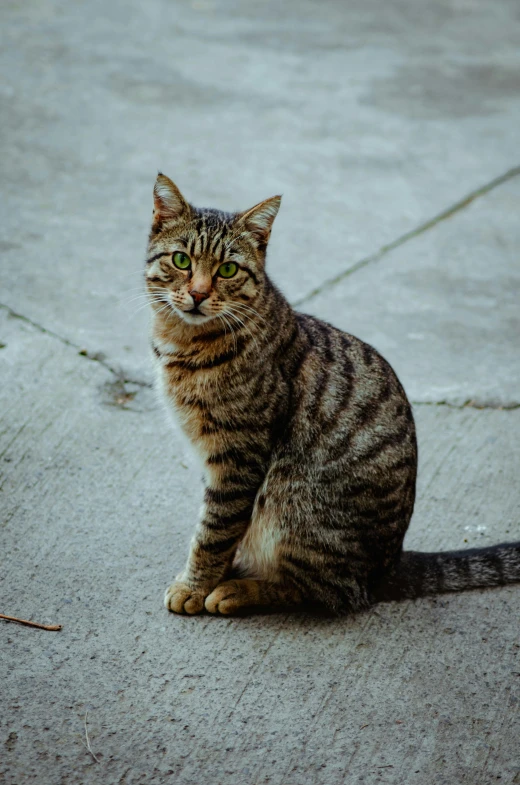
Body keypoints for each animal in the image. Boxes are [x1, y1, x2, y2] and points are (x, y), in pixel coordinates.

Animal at [145, 175, 520, 616]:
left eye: (228, 269)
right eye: (181, 261)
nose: (199, 293)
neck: (183, 343)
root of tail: (388, 566)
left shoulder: (238, 456)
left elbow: (214, 530)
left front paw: (195, 586)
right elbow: (223, 526)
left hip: (293, 501)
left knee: (329, 592)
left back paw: (239, 591)